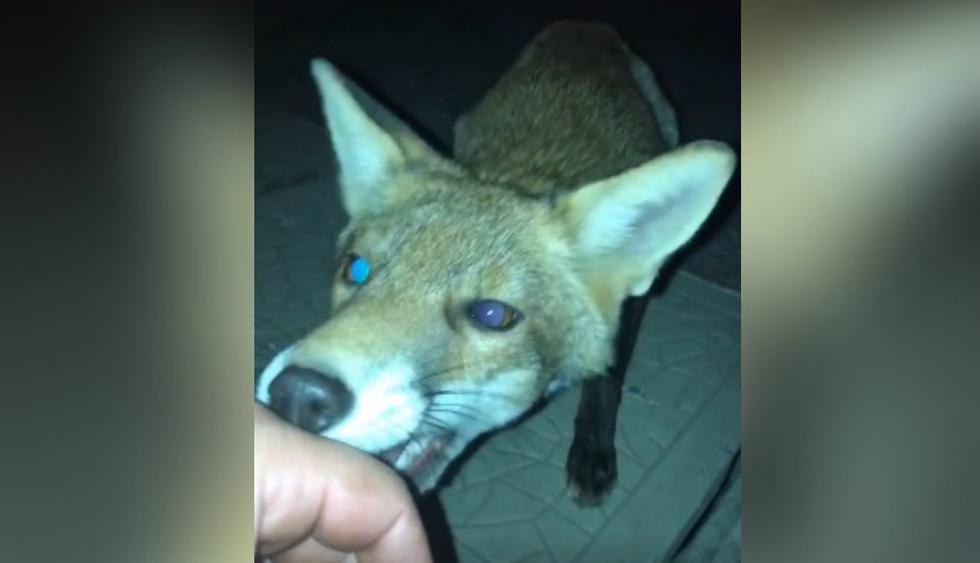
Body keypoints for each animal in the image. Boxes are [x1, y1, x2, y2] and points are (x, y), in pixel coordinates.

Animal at [256, 21, 736, 505]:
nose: (298, 395)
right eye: (357, 270)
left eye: (492, 315)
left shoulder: (629, 310)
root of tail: (585, 26)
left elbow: (608, 378)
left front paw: (593, 447)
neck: (523, 173)